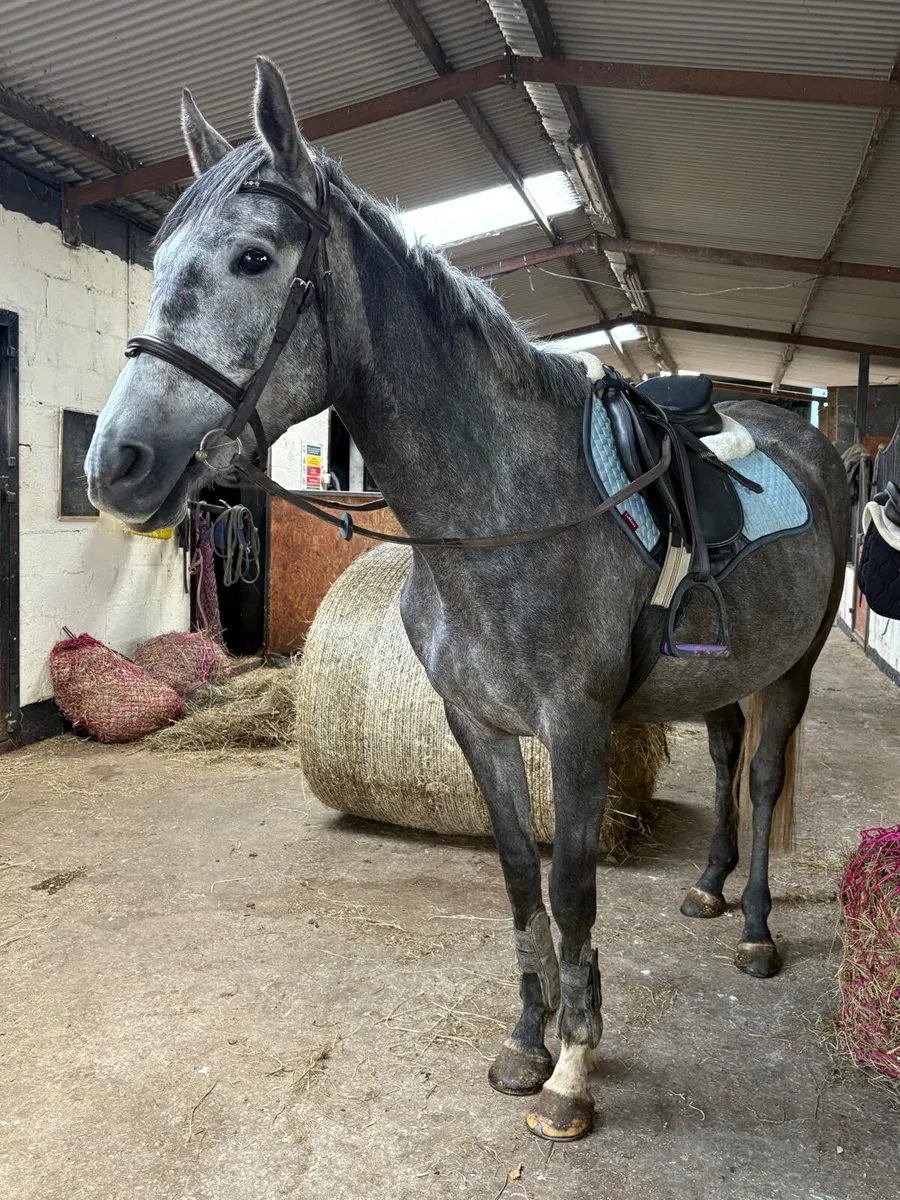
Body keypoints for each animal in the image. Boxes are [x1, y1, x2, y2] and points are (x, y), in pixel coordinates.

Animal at [86, 58, 851, 1142]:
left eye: (252, 257)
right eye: (155, 260)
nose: (117, 464)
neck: (506, 512)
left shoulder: (574, 729)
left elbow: (573, 888)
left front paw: (574, 1069)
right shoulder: (476, 726)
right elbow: (521, 877)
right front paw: (530, 1042)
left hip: (795, 667)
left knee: (765, 775)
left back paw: (753, 930)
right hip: (721, 674)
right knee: (725, 753)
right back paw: (707, 889)